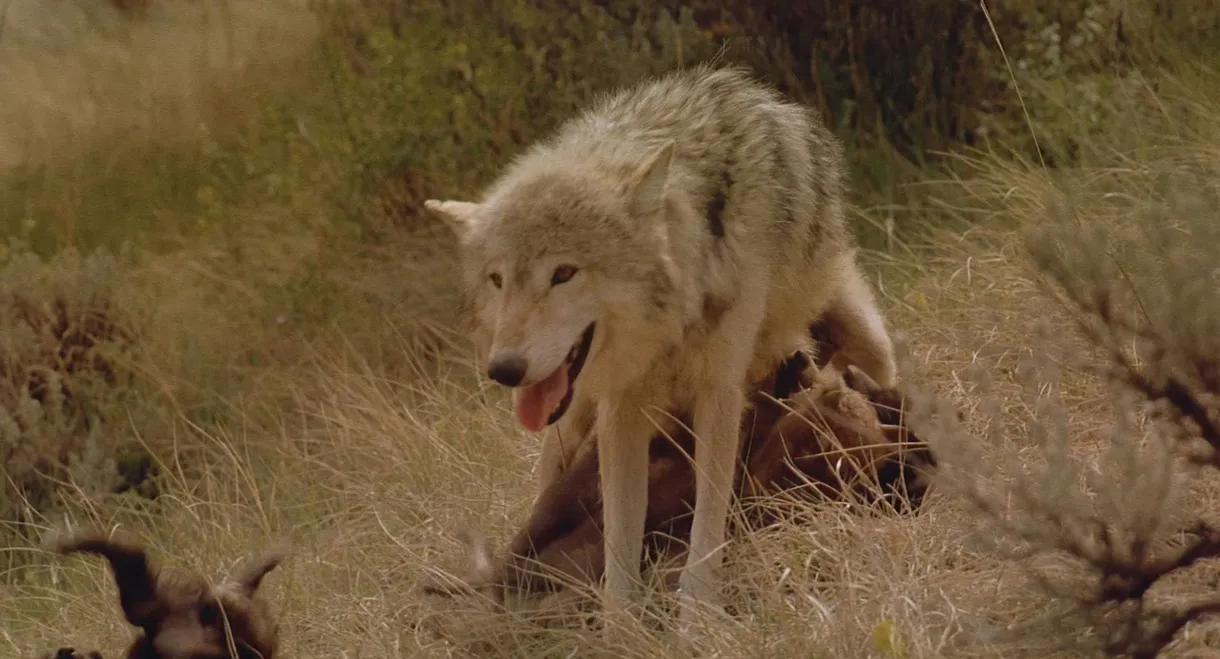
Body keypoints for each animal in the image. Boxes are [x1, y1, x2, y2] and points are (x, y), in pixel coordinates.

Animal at [424, 64, 897, 628]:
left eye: (563, 273)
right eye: (497, 280)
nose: (504, 369)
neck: (668, 331)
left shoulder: (719, 395)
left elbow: (706, 528)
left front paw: (698, 622)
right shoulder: (622, 409)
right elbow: (620, 541)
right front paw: (622, 627)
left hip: (870, 343)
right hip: (568, 425)